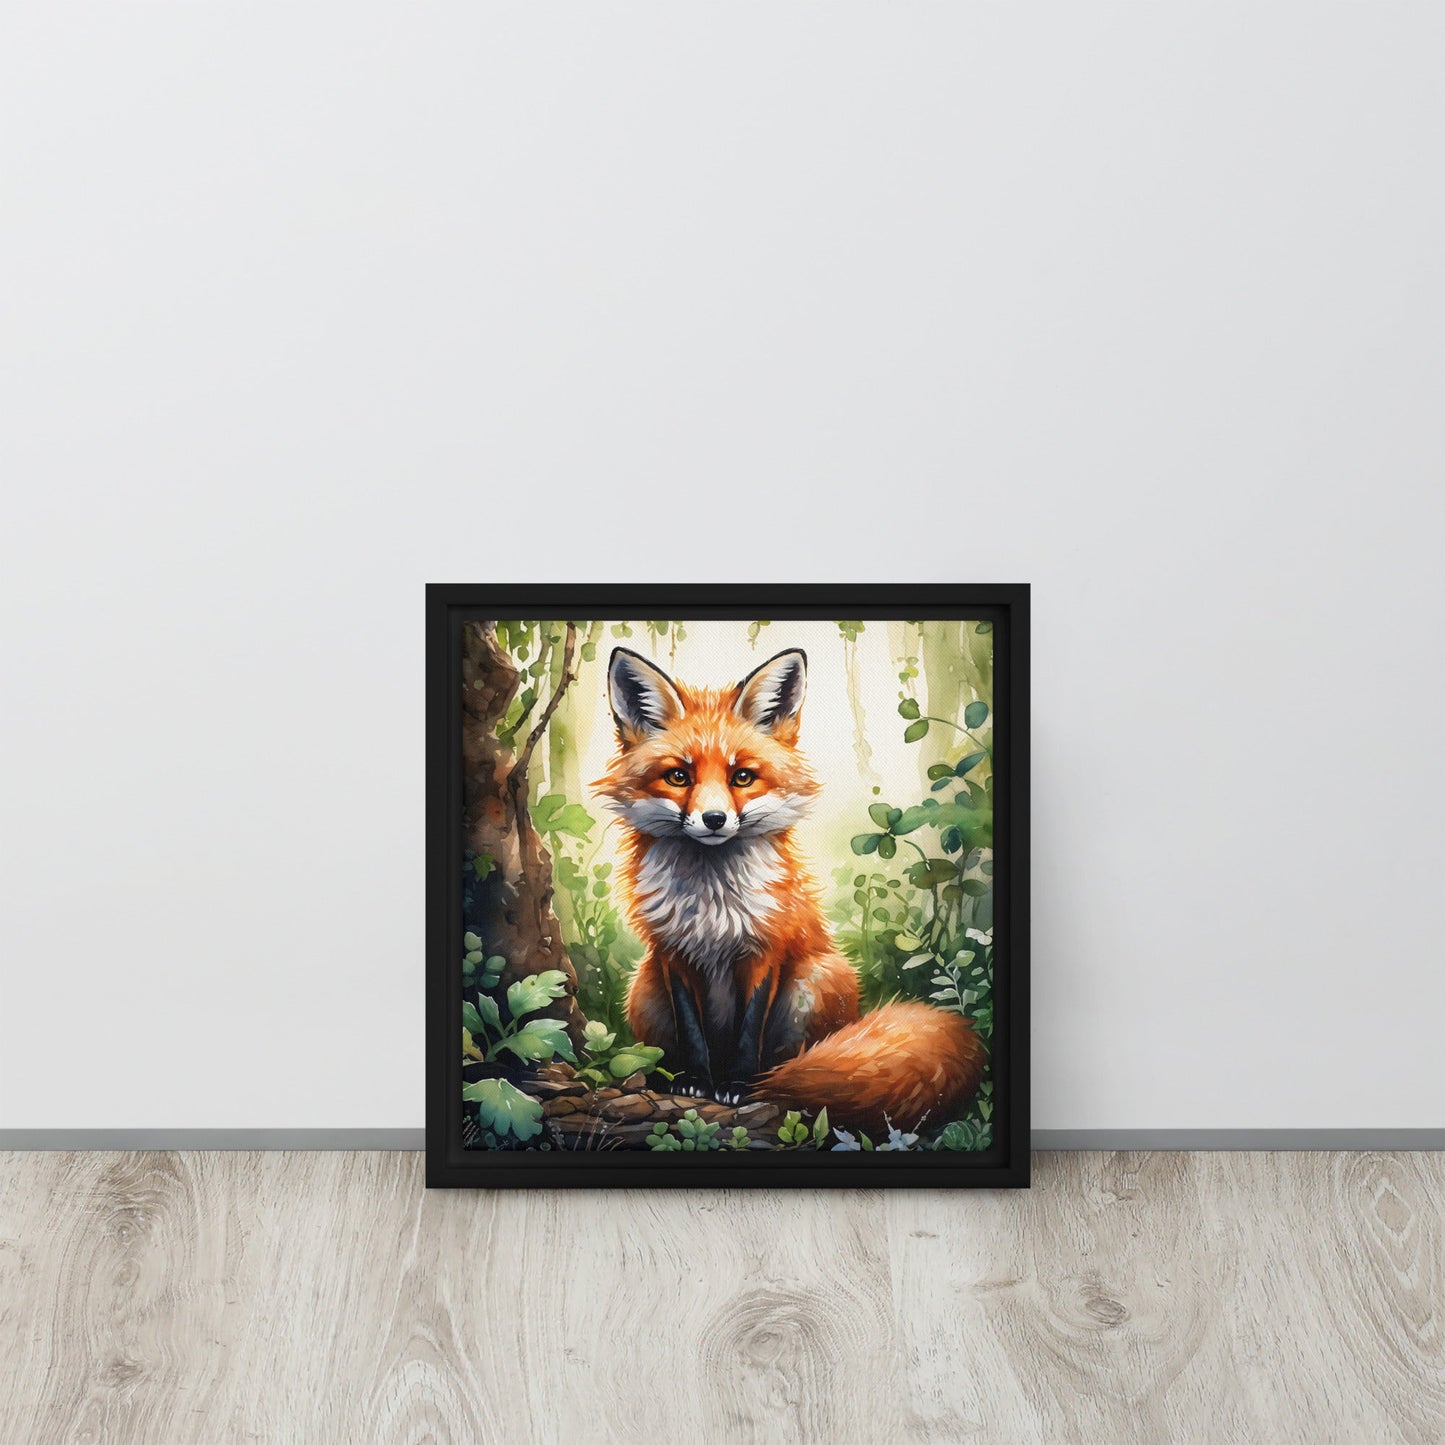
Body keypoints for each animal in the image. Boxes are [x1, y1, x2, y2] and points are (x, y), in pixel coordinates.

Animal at [593, 644, 986, 1135]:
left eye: (742, 777)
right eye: (679, 777)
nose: (714, 820)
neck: (712, 902)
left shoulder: (767, 949)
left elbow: (749, 1030)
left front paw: (739, 1086)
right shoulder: (672, 953)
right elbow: (692, 1031)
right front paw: (695, 1082)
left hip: (815, 979)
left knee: (791, 1061)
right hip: (643, 991)